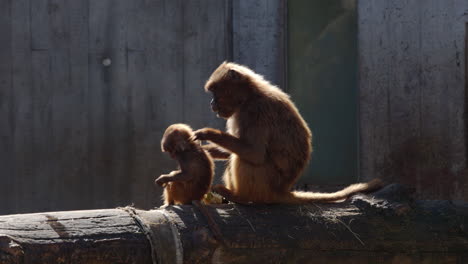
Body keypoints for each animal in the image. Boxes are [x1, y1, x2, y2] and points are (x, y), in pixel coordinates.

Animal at [194, 62, 380, 204]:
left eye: (215, 92)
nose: (212, 103)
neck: (250, 96)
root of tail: (282, 191)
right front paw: (205, 150)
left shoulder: (255, 112)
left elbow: (254, 154)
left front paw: (207, 133)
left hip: (266, 183)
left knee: (246, 159)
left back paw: (241, 197)